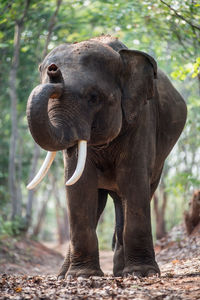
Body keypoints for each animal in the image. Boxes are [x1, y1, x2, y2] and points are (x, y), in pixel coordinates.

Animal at [25, 35, 187, 278]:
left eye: (93, 97)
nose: (54, 70)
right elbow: (80, 185)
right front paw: (82, 276)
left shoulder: (142, 117)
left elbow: (133, 180)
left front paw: (142, 273)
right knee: (102, 201)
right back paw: (65, 274)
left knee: (135, 193)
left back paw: (121, 272)